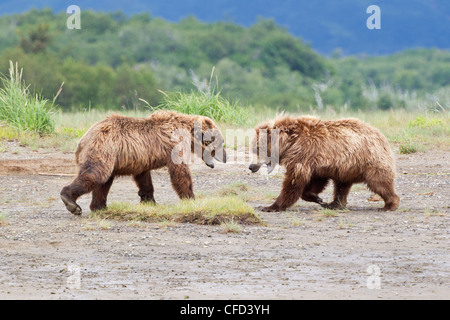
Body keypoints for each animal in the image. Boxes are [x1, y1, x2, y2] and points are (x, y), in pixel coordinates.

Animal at [61, 110, 227, 215]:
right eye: (221, 141)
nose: (226, 157)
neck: (187, 131)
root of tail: (83, 139)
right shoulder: (174, 145)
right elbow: (180, 172)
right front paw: (190, 198)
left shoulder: (141, 158)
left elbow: (144, 179)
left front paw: (149, 201)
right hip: (104, 148)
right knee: (95, 174)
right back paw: (71, 202)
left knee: (104, 182)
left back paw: (99, 206)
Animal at [250, 115, 400, 212]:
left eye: (256, 148)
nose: (251, 167)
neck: (289, 143)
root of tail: (381, 135)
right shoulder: (317, 162)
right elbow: (315, 181)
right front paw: (318, 198)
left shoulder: (303, 154)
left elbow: (294, 181)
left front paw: (270, 206)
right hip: (347, 167)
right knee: (341, 186)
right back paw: (334, 204)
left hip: (370, 160)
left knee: (379, 182)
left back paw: (389, 204)